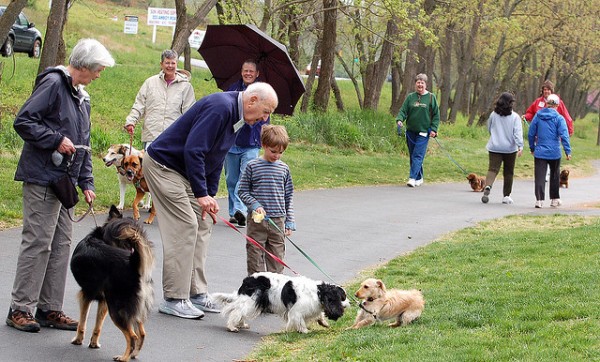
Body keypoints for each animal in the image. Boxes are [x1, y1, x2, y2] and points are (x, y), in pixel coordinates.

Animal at [70, 205, 155, 360]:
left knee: (132, 337)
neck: (99, 237)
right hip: (131, 309)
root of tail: (133, 264)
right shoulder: (104, 301)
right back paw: (133, 354)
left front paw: (78, 340)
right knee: (141, 333)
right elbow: (98, 326)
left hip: (116, 309)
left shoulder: (86, 295)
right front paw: (94, 343)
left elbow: (82, 322)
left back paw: (123, 358)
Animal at [213, 272, 350, 334]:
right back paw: (232, 327)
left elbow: (318, 316)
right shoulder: (296, 312)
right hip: (250, 302)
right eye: (343, 298)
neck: (319, 292)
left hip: (251, 303)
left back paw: (242, 324)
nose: (350, 303)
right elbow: (300, 322)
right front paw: (305, 331)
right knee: (236, 311)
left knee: (240, 312)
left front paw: (323, 322)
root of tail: (247, 279)